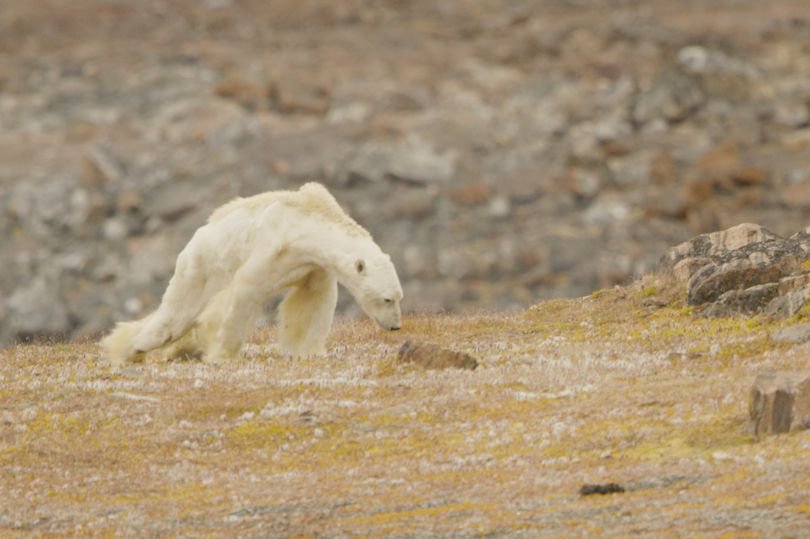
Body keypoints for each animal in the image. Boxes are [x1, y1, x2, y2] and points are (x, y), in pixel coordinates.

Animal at [99, 182, 402, 368]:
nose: (396, 326)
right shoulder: (273, 246)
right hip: (200, 267)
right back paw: (131, 349)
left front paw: (308, 350)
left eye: (399, 297)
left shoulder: (313, 265)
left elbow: (313, 302)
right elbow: (246, 290)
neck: (308, 221)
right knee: (174, 317)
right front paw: (221, 354)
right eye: (387, 299)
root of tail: (197, 235)